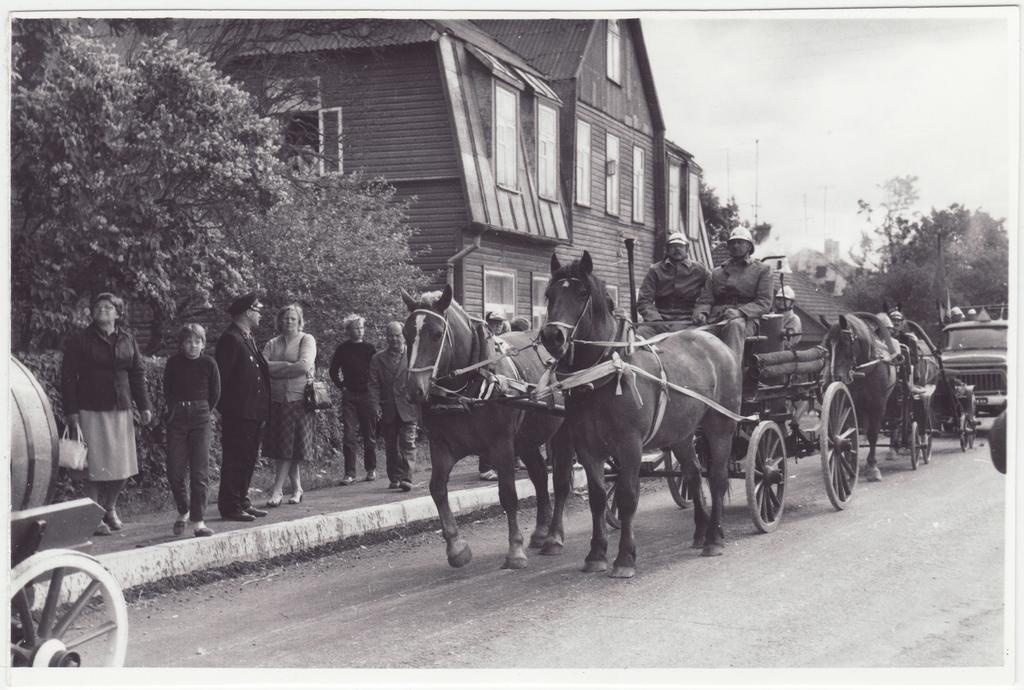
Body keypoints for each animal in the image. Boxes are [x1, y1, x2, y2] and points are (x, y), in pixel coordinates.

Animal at [399, 282, 569, 565]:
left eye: (436, 334)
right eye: (406, 334)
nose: (413, 390)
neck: (468, 385)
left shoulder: (501, 444)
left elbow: (508, 494)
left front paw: (515, 550)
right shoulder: (441, 445)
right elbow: (437, 489)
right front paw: (456, 548)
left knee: (561, 481)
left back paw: (554, 537)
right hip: (527, 439)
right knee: (539, 476)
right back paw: (541, 532)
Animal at [540, 250, 741, 573]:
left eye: (582, 293)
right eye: (549, 294)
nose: (552, 336)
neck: (605, 372)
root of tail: (719, 343)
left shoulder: (629, 445)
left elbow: (627, 497)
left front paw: (625, 557)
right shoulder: (587, 447)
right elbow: (598, 497)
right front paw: (596, 554)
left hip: (720, 427)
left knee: (718, 478)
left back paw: (713, 538)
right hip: (681, 434)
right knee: (693, 473)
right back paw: (701, 530)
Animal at [815, 311, 897, 479]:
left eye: (845, 343)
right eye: (826, 346)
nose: (832, 379)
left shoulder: (877, 406)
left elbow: (872, 434)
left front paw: (872, 467)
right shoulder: (846, 403)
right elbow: (847, 431)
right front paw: (847, 463)